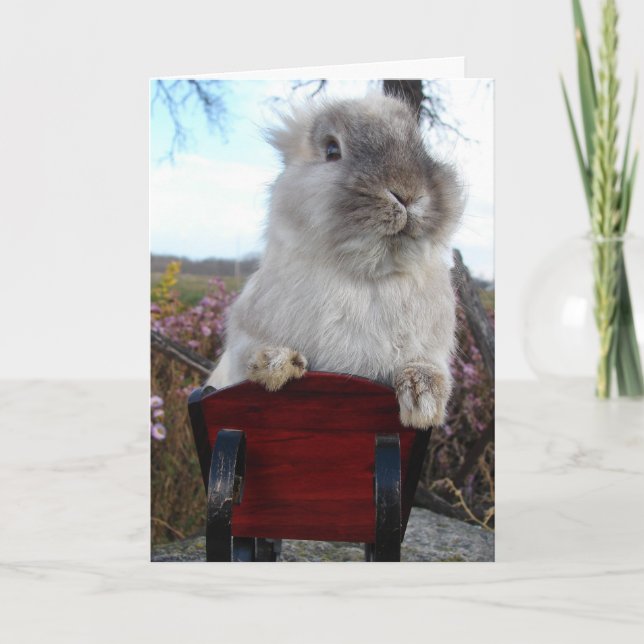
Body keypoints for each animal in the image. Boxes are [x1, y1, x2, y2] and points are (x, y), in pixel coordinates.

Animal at [206, 92, 463, 429]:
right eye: (331, 150)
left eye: (422, 148)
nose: (407, 194)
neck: (366, 274)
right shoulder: (242, 341)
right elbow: (253, 353)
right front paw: (277, 364)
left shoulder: (433, 350)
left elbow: (425, 366)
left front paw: (422, 399)